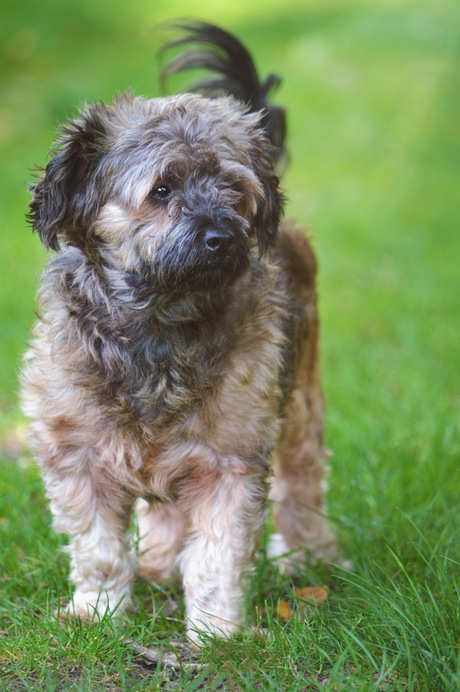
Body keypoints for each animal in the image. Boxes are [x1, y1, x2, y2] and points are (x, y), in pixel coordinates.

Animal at [21, 24, 336, 648]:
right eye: (162, 190)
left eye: (235, 191)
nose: (222, 237)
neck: (157, 326)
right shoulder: (77, 454)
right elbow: (98, 549)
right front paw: (98, 612)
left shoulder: (229, 458)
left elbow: (217, 554)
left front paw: (216, 633)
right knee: (162, 514)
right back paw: (158, 563)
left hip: (301, 404)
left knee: (303, 483)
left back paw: (309, 559)